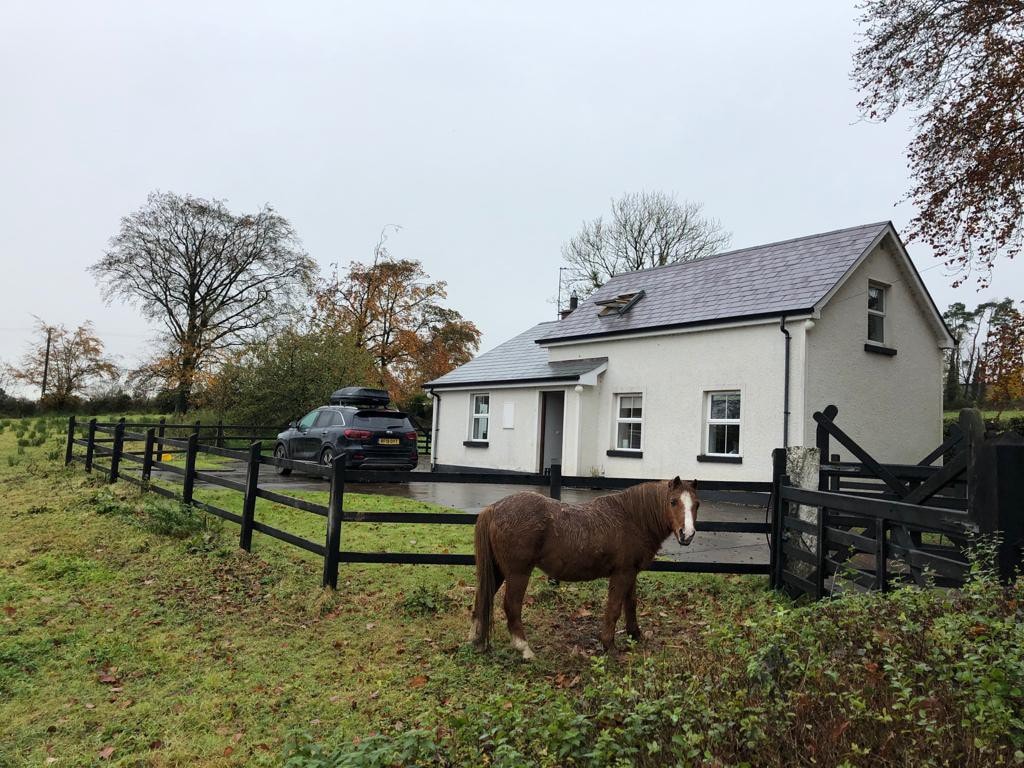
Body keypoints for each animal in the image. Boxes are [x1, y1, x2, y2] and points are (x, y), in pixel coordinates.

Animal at [468, 479, 696, 659]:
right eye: (673, 501)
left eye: (696, 504)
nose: (687, 534)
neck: (632, 518)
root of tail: (494, 508)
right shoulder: (622, 574)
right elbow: (614, 608)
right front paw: (609, 645)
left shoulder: (631, 573)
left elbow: (631, 605)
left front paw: (636, 635)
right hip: (518, 573)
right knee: (512, 606)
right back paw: (524, 648)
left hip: (498, 570)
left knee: (482, 597)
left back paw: (476, 640)